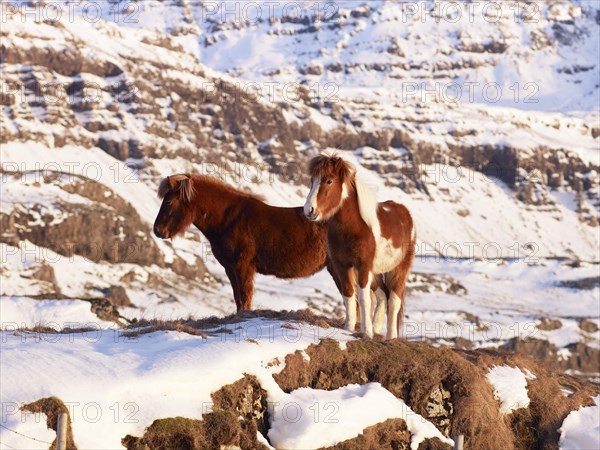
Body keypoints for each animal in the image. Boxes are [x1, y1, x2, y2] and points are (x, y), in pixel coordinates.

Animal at [152, 174, 338, 312]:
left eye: (168, 201)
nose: (157, 230)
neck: (228, 220)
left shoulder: (243, 266)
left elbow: (244, 296)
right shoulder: (230, 268)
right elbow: (238, 298)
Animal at [304, 155, 412, 338]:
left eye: (328, 180)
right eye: (312, 180)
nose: (309, 210)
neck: (355, 227)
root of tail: (404, 213)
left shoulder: (363, 266)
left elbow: (363, 298)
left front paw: (366, 332)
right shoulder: (341, 265)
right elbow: (348, 294)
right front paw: (349, 328)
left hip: (399, 269)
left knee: (394, 300)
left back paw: (390, 337)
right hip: (376, 273)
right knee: (383, 296)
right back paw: (376, 329)